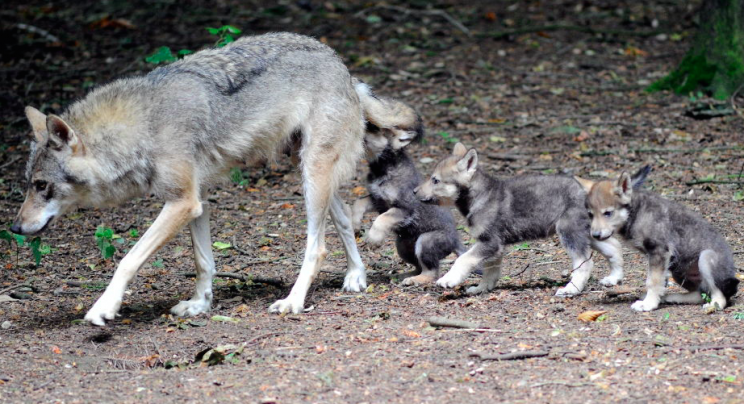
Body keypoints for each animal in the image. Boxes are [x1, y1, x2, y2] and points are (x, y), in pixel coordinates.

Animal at [10, 32, 370, 326]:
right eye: (28, 184)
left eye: (41, 186)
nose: (14, 227)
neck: (144, 126)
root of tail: (339, 62)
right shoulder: (198, 201)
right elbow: (202, 261)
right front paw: (200, 304)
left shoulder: (182, 202)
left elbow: (128, 260)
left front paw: (104, 307)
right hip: (309, 174)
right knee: (343, 219)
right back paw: (356, 277)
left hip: (312, 175)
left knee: (318, 248)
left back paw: (293, 301)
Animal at [350, 81, 464, 284]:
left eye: (374, 127)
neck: (383, 168)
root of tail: (456, 239)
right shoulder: (376, 199)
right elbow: (358, 203)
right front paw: (355, 225)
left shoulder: (403, 207)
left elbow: (382, 219)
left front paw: (373, 239)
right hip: (403, 245)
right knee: (418, 266)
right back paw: (404, 276)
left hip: (425, 242)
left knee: (432, 272)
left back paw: (416, 280)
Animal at [416, 144, 624, 296]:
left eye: (435, 180)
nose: (414, 192)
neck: (480, 196)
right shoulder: (494, 246)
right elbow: (490, 271)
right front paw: (482, 289)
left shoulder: (489, 243)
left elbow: (463, 259)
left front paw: (449, 279)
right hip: (589, 233)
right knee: (614, 249)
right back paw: (614, 279)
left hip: (569, 232)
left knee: (585, 263)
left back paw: (571, 290)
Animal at [576, 166, 740, 310]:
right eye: (590, 214)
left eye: (608, 213)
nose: (595, 235)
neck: (636, 213)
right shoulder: (662, 259)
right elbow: (660, 282)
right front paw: (656, 299)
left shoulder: (659, 251)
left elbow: (653, 282)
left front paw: (648, 305)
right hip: (678, 271)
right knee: (700, 294)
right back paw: (672, 298)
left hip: (705, 257)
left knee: (720, 295)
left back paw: (713, 305)